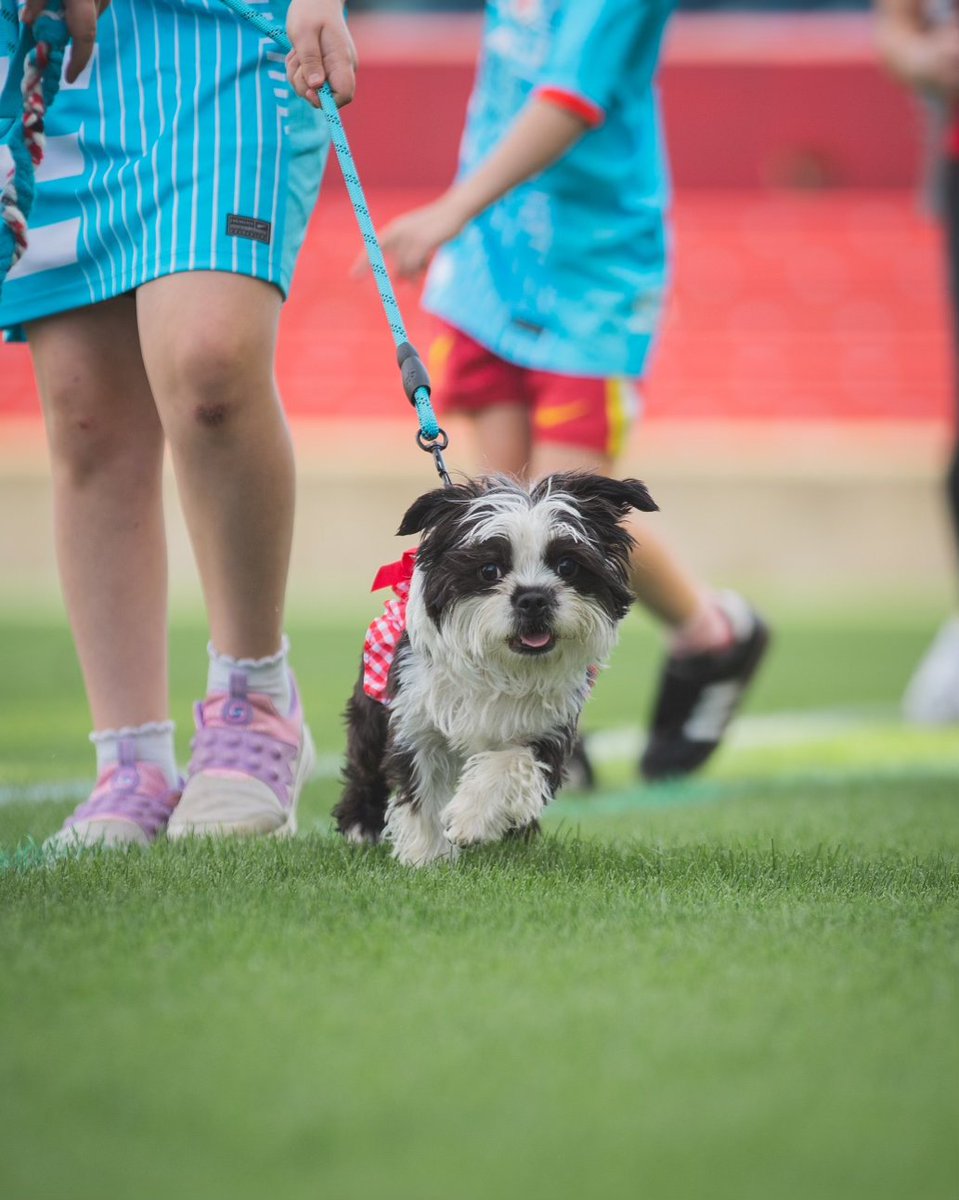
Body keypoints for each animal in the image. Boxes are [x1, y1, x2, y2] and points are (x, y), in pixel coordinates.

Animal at [333, 472, 657, 868]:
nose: (533, 598)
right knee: (365, 762)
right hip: (372, 706)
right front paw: (427, 856)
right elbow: (421, 788)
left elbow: (511, 762)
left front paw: (471, 819)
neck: (506, 665)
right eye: (490, 570)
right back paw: (360, 826)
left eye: (567, 565)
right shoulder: (416, 719)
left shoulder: (549, 728)